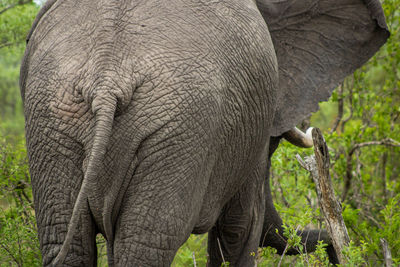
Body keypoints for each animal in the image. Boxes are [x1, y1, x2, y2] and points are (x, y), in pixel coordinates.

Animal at [20, 0, 390, 266]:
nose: (337, 253)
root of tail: (108, 78)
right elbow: (241, 226)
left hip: (53, 119)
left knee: (66, 241)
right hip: (179, 129)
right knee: (147, 241)